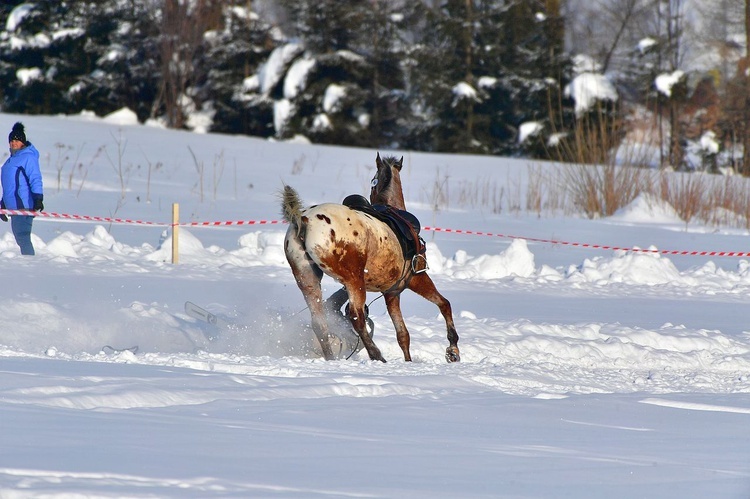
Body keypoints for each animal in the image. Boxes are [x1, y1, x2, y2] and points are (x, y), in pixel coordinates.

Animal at [280, 152, 458, 364]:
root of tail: (304, 219)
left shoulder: (392, 293)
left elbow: (403, 335)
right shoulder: (416, 278)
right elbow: (444, 304)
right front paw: (453, 350)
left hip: (308, 278)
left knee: (319, 322)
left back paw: (332, 357)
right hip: (354, 280)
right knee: (356, 317)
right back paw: (376, 355)